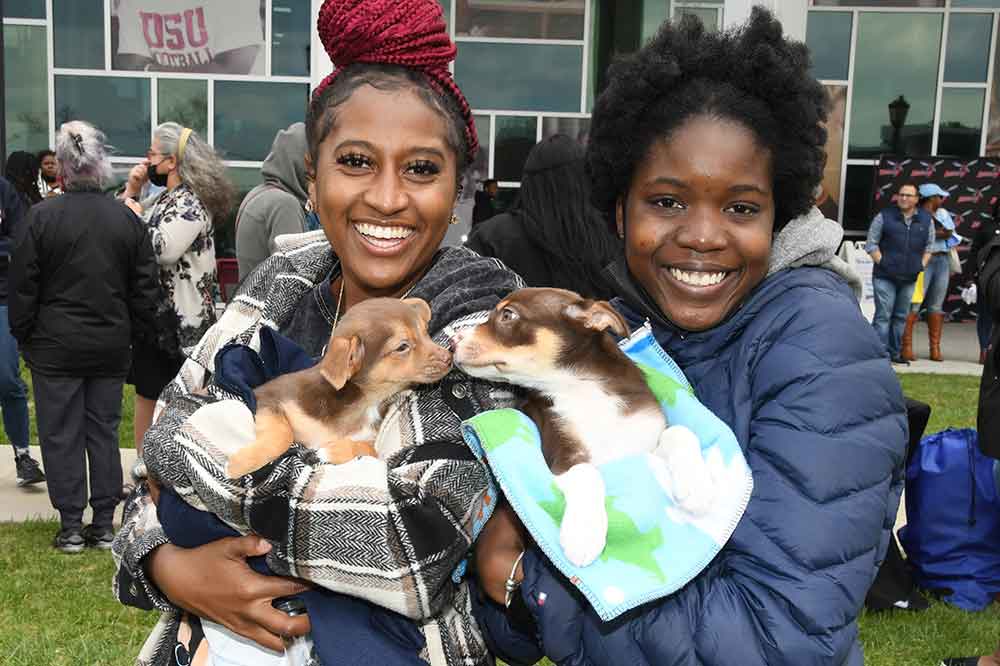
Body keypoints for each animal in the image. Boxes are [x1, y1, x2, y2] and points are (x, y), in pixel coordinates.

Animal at [225, 296, 452, 478]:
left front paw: (329, 451)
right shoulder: (267, 397)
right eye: (402, 347)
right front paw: (239, 465)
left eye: (426, 333)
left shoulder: (368, 440)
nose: (450, 357)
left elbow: (370, 451)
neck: (367, 401)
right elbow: (282, 435)